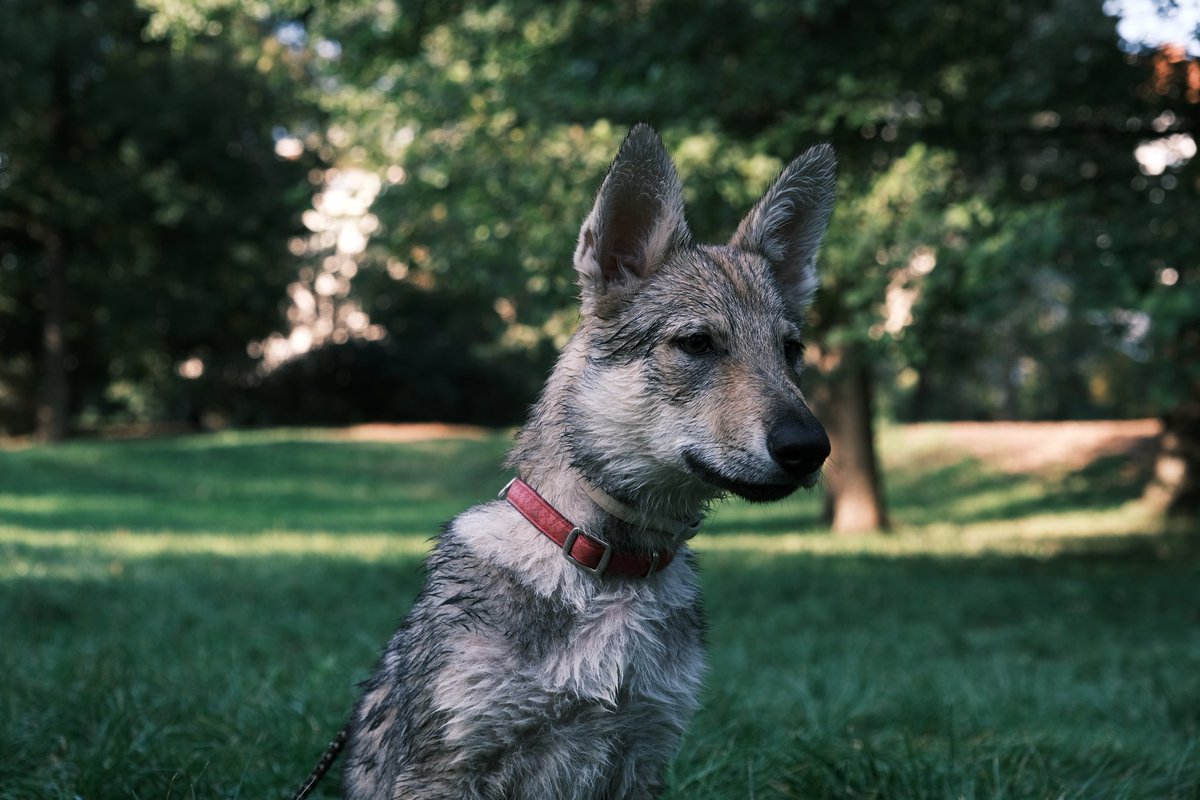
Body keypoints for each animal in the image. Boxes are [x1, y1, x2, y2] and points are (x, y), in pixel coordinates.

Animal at [341, 124, 835, 800]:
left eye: (791, 352)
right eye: (697, 344)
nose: (811, 448)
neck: (612, 569)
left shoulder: (643, 751)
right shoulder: (447, 766)